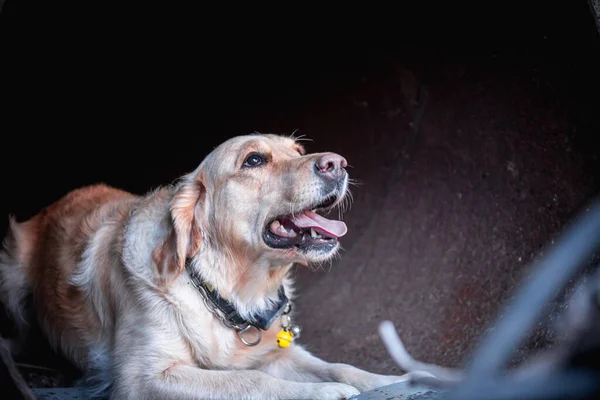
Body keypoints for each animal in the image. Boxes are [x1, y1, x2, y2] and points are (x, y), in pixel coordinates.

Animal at [0, 133, 424, 398]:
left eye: (299, 149)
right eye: (254, 160)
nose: (338, 163)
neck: (225, 291)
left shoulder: (278, 353)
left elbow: (338, 366)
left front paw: (395, 377)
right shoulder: (142, 378)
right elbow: (248, 381)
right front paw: (324, 393)